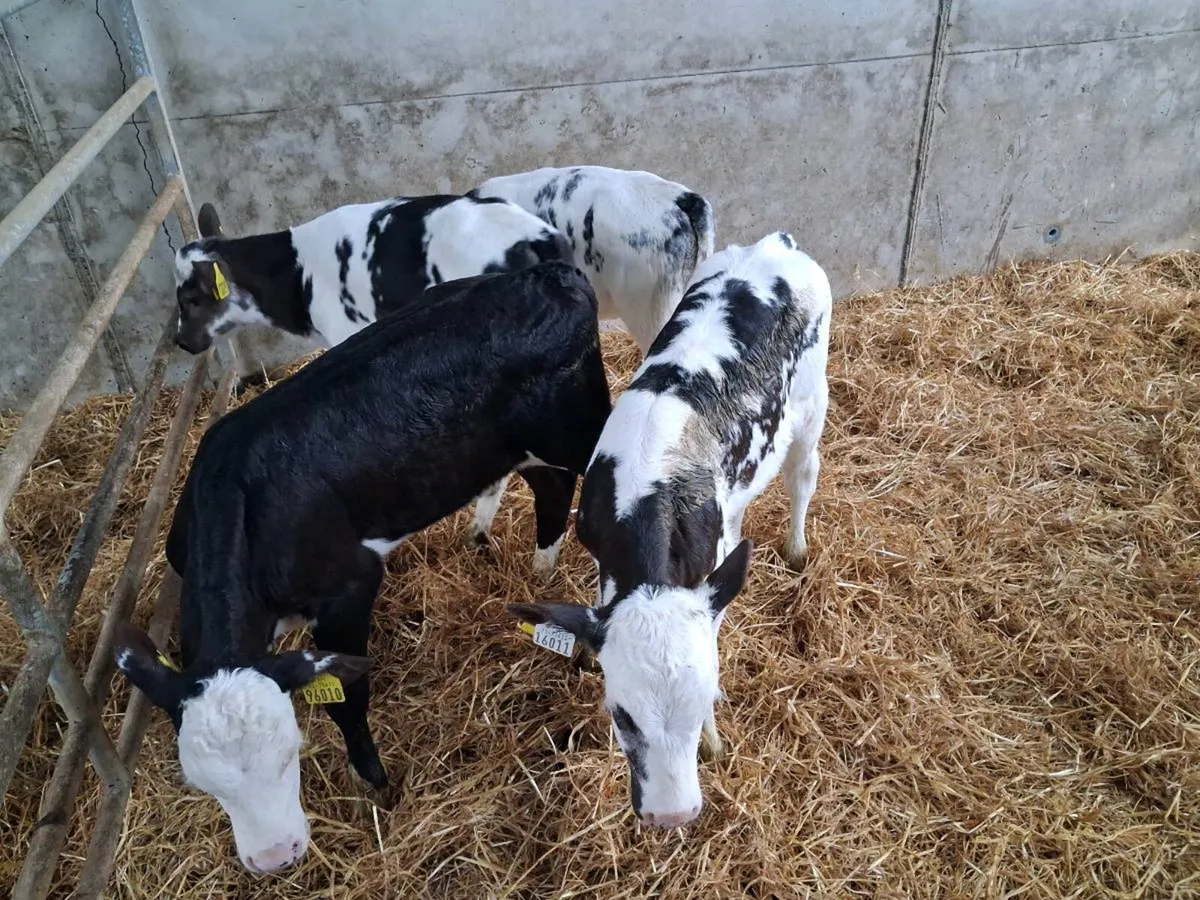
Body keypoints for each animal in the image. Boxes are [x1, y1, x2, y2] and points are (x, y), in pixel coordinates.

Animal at [115, 262, 612, 873]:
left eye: (290, 755)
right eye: (203, 785)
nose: (274, 857)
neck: (239, 501)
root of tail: (552, 273)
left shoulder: (349, 590)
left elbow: (348, 699)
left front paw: (373, 782)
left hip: (586, 430)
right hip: (519, 449)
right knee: (551, 489)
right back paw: (540, 573)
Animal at [508, 232, 832, 829]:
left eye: (706, 700)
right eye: (621, 715)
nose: (671, 816)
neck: (649, 485)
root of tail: (774, 245)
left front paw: (714, 741)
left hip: (811, 405)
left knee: (803, 477)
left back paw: (797, 547)